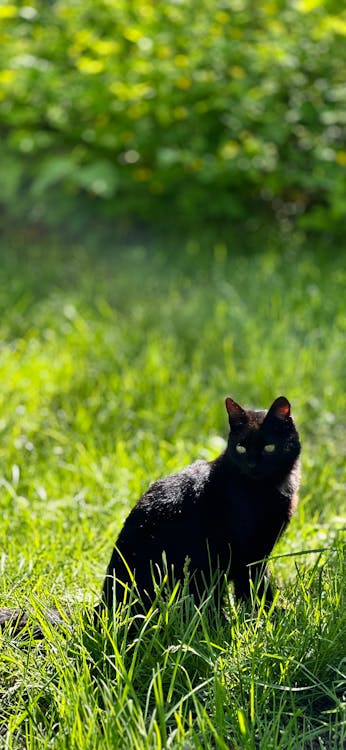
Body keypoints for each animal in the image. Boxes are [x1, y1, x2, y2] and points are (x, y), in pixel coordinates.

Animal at [101, 396, 302, 612]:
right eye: (241, 447)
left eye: (269, 447)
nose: (252, 465)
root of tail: (105, 604)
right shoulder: (250, 552)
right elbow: (254, 585)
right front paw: (265, 612)